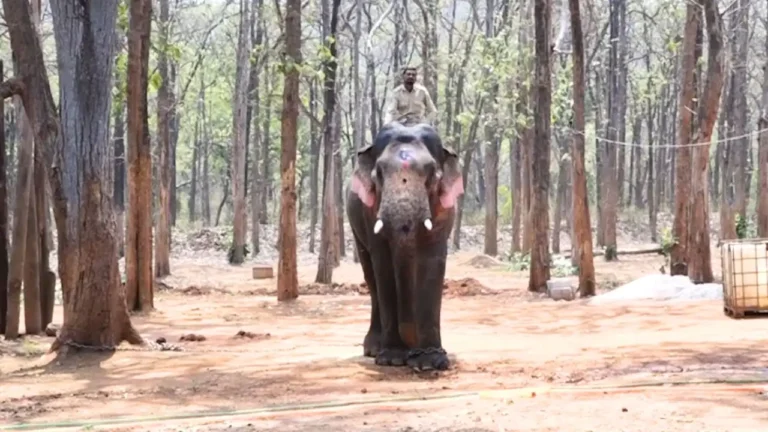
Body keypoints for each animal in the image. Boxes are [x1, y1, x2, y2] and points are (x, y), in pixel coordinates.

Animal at [346, 122, 465, 371]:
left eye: (431, 173)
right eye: (379, 173)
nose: (412, 348)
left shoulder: (445, 211)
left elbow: (432, 262)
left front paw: (431, 362)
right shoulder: (369, 212)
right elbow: (383, 263)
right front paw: (392, 358)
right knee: (371, 277)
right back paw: (375, 349)